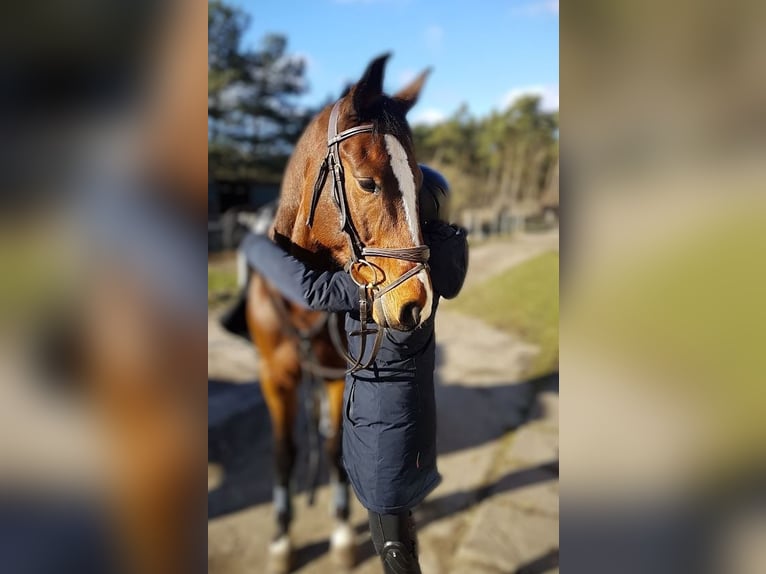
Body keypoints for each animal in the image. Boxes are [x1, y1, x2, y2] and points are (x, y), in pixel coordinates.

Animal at [249, 51, 436, 572]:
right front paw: (280, 539)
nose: (417, 303)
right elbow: (284, 453)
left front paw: (339, 532)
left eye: (419, 183)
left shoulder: (336, 374)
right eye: (368, 183)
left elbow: (334, 448)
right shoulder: (274, 378)